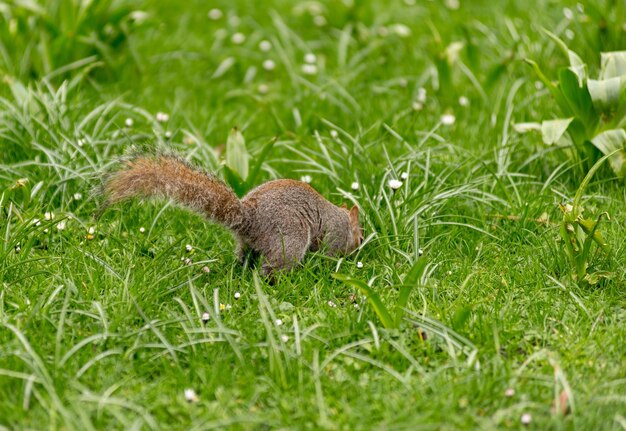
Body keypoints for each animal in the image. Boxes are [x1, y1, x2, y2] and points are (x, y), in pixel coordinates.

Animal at [102, 155, 360, 276]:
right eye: (360, 236)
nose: (357, 250)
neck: (343, 219)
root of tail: (250, 220)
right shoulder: (334, 235)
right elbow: (328, 254)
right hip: (290, 239)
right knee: (273, 267)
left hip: (249, 244)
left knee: (245, 258)